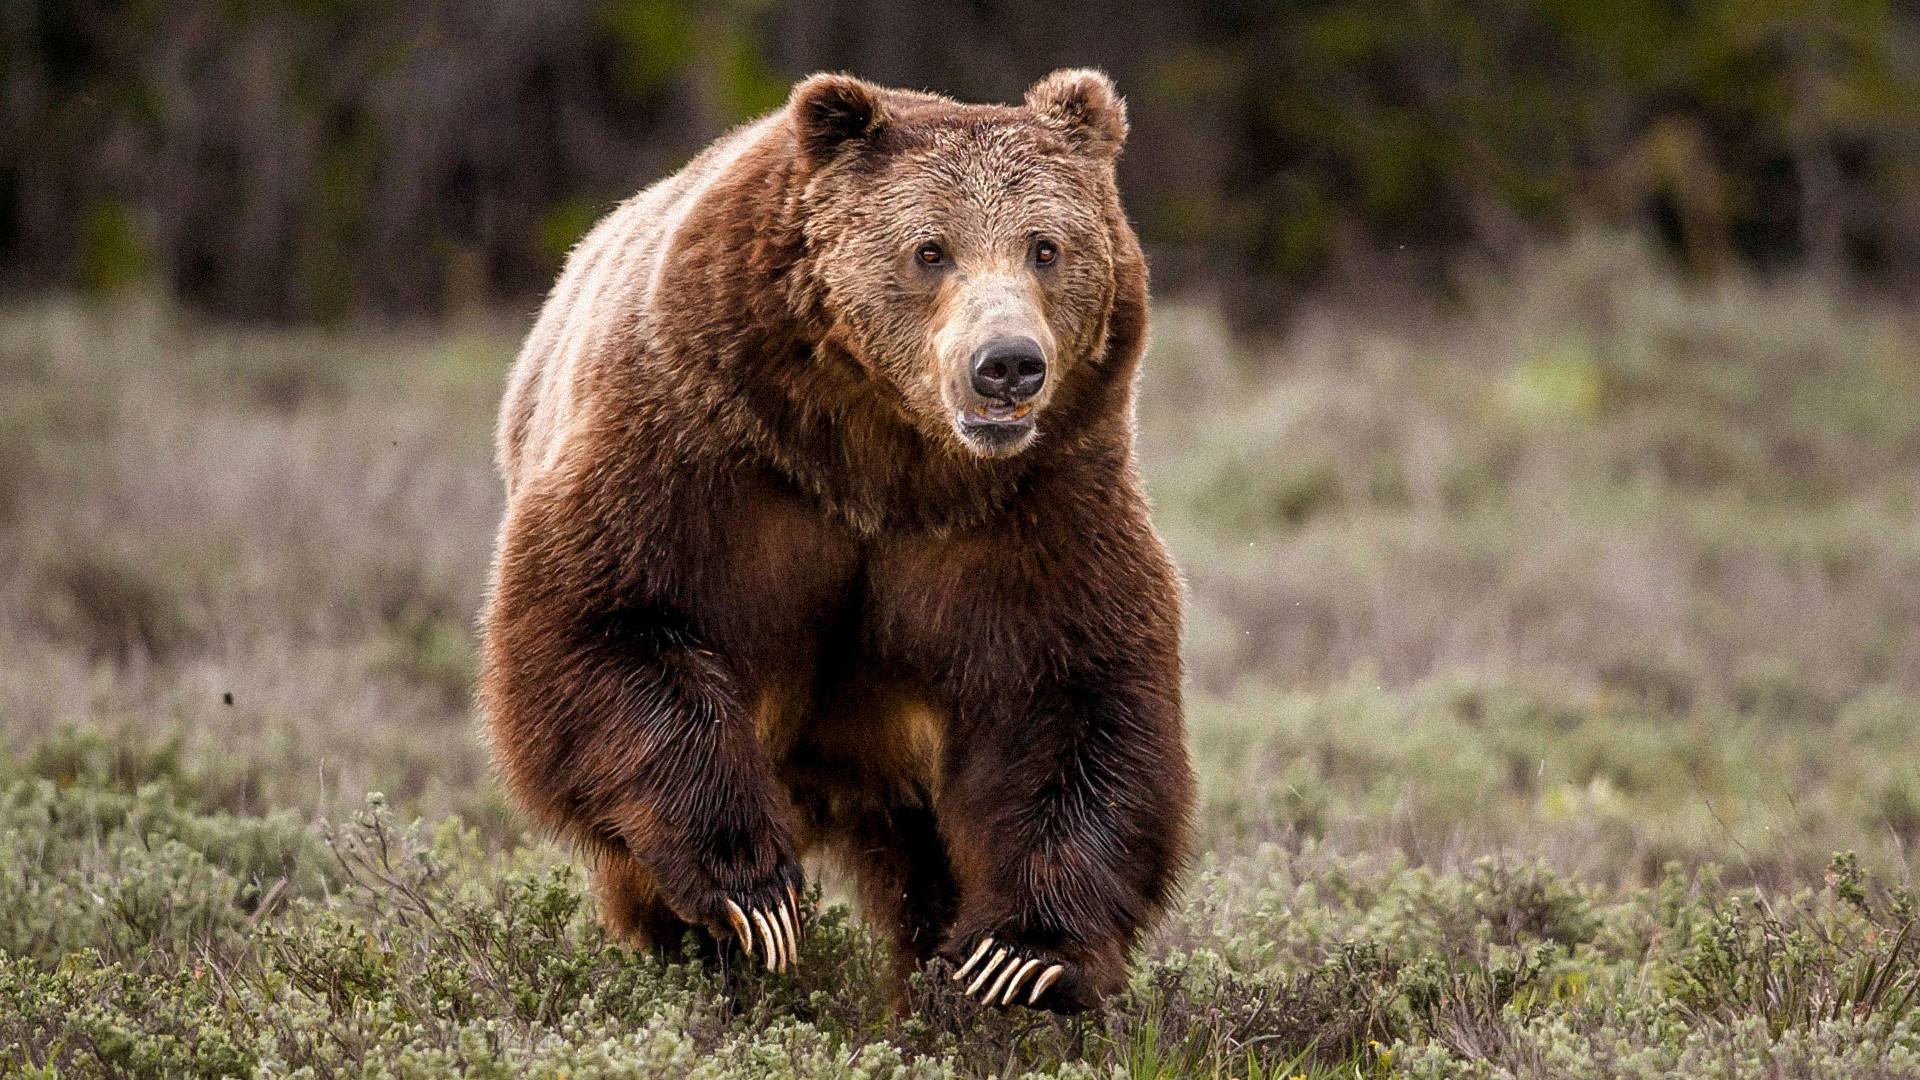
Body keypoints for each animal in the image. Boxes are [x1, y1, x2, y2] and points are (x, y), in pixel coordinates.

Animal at [480, 67, 1190, 1006]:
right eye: (930, 250)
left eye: (1046, 247)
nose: (1006, 365)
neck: (880, 460)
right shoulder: (699, 447)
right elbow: (614, 618)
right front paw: (753, 895)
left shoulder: (1032, 507)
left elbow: (1071, 692)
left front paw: (1021, 957)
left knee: (928, 865)